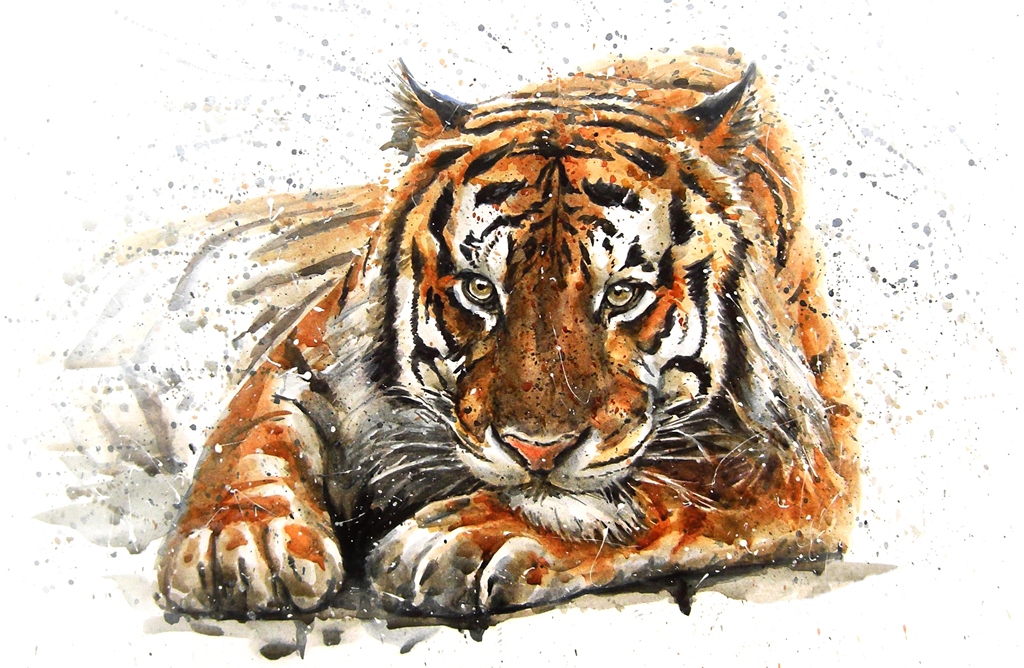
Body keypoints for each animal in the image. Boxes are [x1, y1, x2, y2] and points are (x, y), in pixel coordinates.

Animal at [157, 46, 860, 620]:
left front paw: (467, 536)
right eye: (479, 289)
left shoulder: (804, 452)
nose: (536, 452)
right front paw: (239, 540)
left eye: (623, 295)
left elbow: (665, 488)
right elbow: (252, 433)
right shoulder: (308, 351)